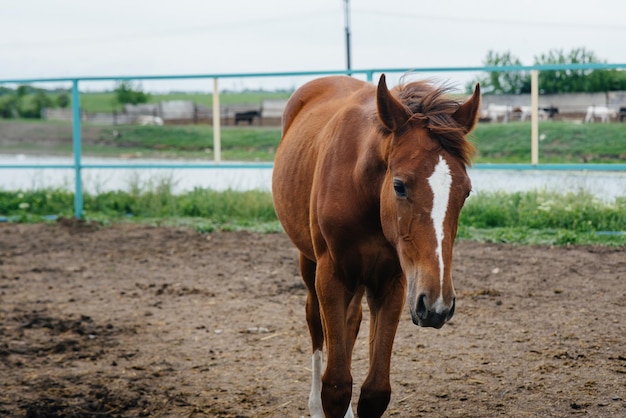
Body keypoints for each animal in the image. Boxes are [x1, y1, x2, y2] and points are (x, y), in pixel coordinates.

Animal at [270, 75, 480, 418]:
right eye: (399, 186)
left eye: (466, 192)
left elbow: (375, 391)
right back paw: (314, 404)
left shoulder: (392, 283)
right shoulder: (331, 276)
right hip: (310, 263)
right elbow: (336, 386)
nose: (437, 304)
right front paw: (327, 403)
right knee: (315, 321)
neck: (361, 187)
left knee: (350, 323)